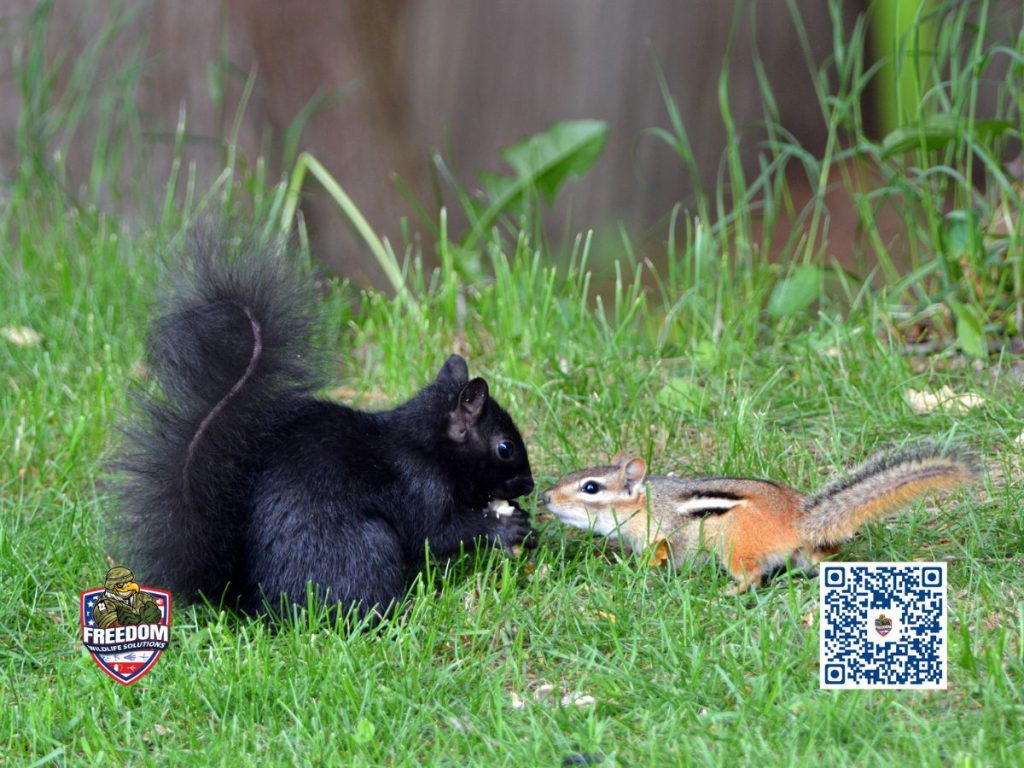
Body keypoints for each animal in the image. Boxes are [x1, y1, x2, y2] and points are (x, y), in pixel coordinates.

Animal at [116, 231, 535, 620]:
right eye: (505, 447)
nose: (529, 485)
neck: (425, 445)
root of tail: (256, 606)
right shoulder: (421, 488)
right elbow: (439, 534)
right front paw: (504, 527)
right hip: (364, 547)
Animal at [542, 447, 975, 594]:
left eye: (591, 488)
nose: (545, 497)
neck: (646, 504)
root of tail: (800, 520)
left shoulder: (663, 535)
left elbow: (660, 555)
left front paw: (636, 571)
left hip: (736, 546)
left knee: (752, 576)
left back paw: (730, 592)